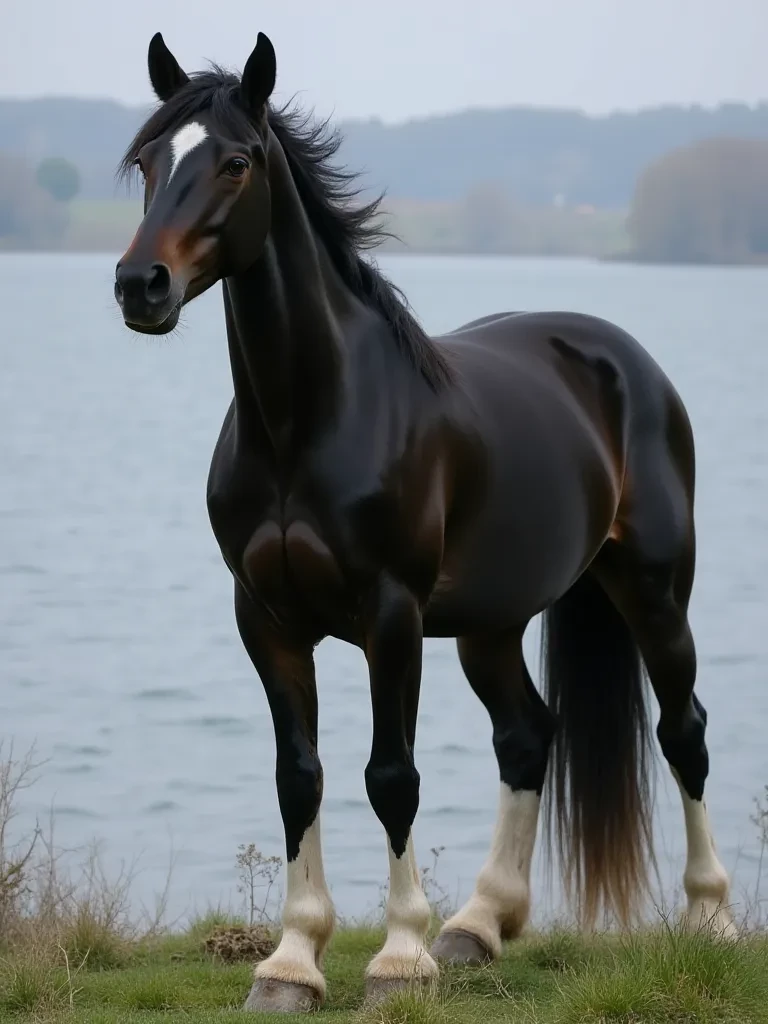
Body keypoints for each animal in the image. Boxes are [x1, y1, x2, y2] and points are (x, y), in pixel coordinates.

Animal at [114, 31, 735, 1013]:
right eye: (147, 161)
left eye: (237, 162)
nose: (142, 285)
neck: (306, 421)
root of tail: (623, 358)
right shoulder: (265, 618)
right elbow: (300, 777)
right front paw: (292, 962)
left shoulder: (390, 615)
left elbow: (390, 776)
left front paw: (398, 959)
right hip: (491, 623)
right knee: (527, 736)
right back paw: (479, 923)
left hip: (654, 591)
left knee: (685, 730)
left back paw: (711, 916)